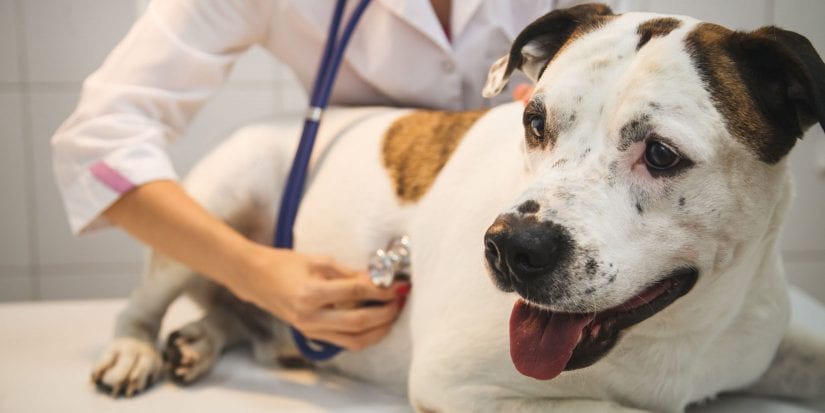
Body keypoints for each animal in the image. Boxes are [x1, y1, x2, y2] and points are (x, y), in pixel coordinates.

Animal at [90, 4, 824, 412]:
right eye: (534, 122)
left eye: (663, 154)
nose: (512, 246)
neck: (683, 329)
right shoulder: (460, 384)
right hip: (220, 195)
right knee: (154, 286)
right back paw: (135, 349)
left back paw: (199, 338)